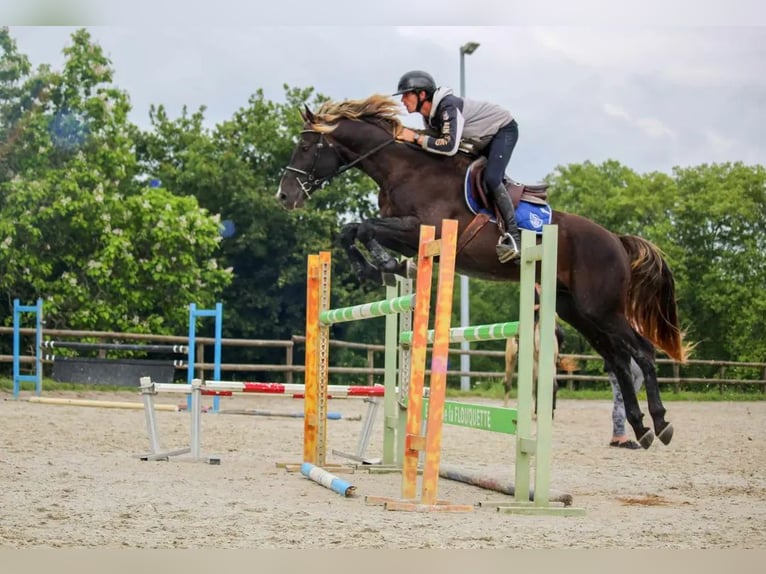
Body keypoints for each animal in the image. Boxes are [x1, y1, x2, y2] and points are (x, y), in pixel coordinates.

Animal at [280, 94, 692, 450]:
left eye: (306, 147)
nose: (285, 196)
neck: (404, 169)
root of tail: (616, 239)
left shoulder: (419, 230)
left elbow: (365, 229)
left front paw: (383, 264)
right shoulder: (407, 235)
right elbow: (351, 230)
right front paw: (377, 267)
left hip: (602, 308)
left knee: (643, 352)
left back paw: (662, 423)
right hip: (579, 311)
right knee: (619, 361)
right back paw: (641, 429)